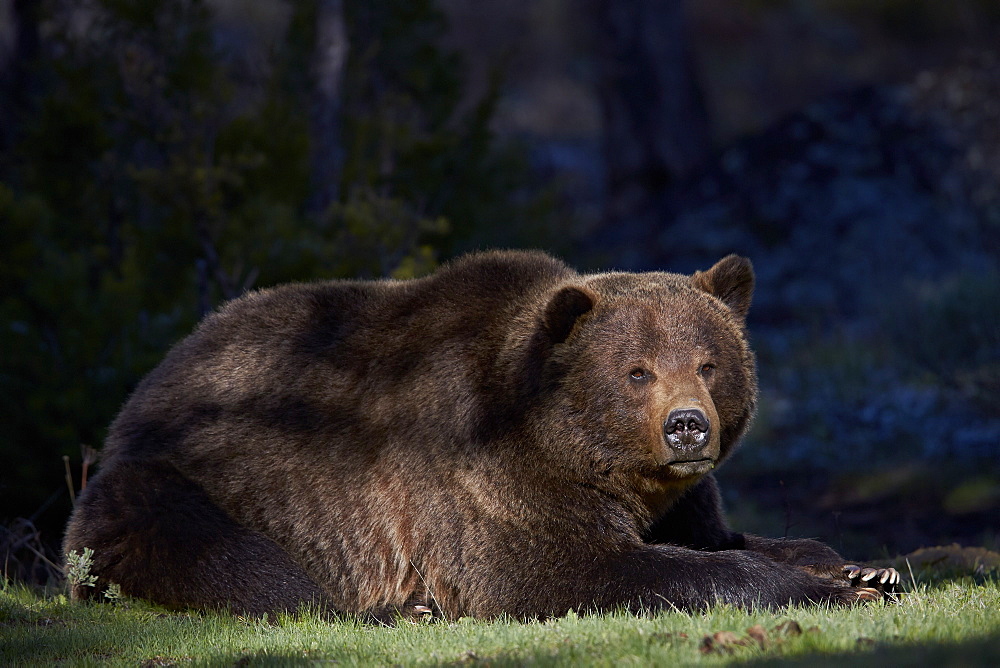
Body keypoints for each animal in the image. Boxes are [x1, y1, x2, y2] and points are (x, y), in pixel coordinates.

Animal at [62, 250, 896, 620]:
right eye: (636, 371)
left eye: (709, 362)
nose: (687, 426)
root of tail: (145, 385)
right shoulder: (484, 476)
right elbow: (571, 571)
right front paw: (829, 588)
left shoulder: (676, 497)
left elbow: (724, 537)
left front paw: (863, 567)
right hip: (175, 483)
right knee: (246, 567)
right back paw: (401, 608)